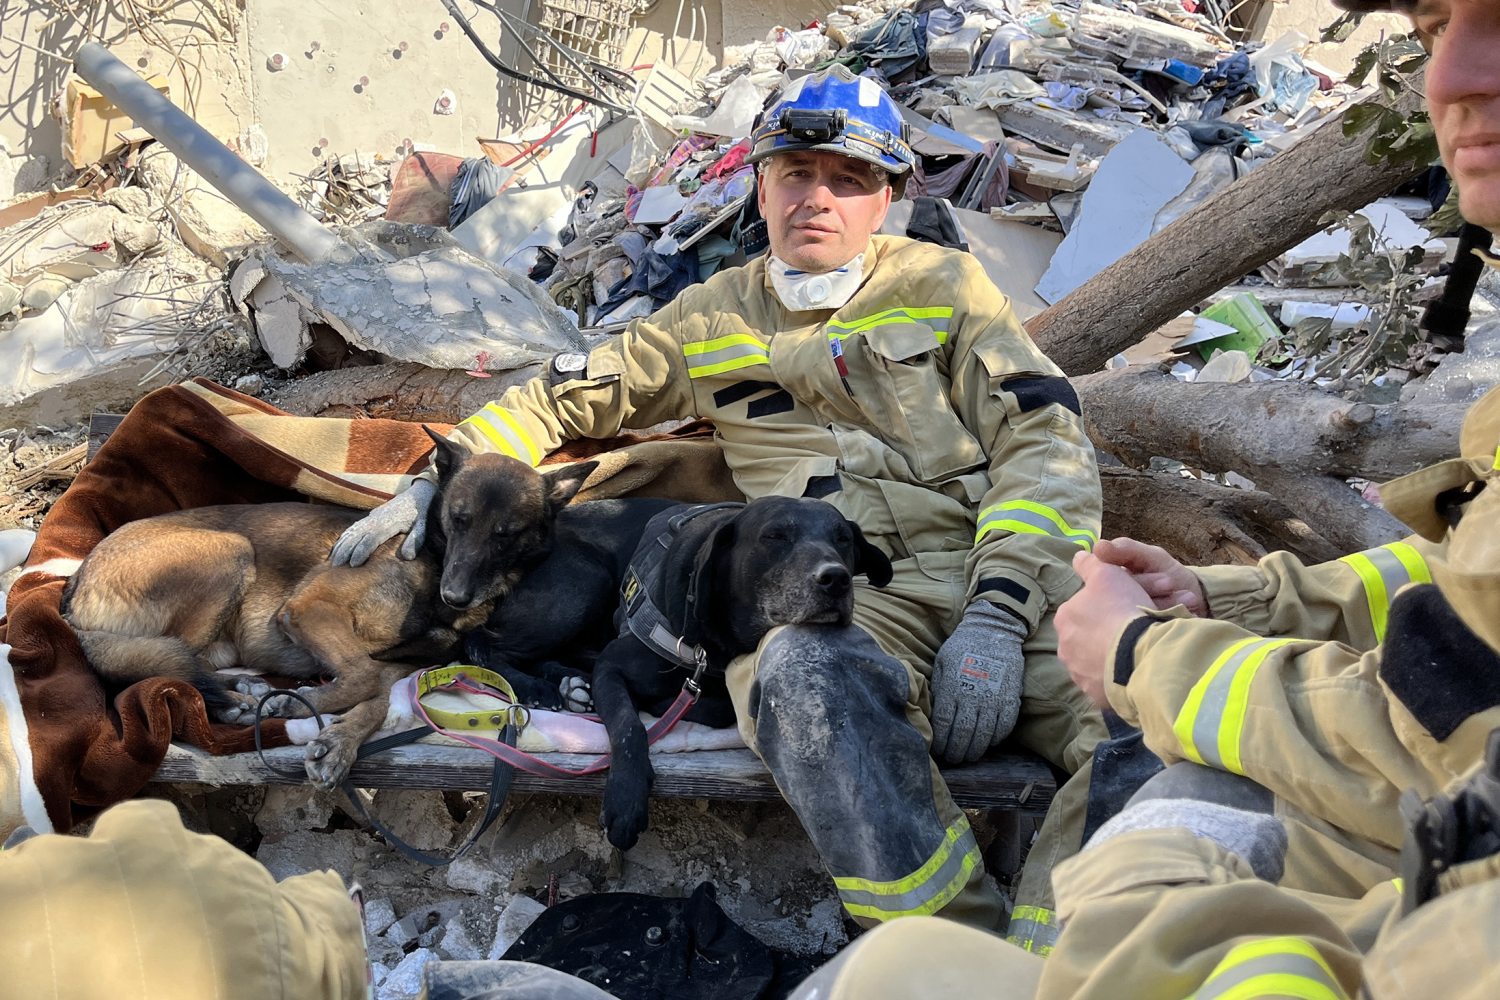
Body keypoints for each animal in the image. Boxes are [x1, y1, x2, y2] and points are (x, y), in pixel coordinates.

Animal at [60, 431, 597, 791]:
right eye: (458, 519)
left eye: (506, 535)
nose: (456, 595)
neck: (431, 562)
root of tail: (77, 580)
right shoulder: (312, 608)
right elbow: (361, 675)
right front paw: (307, 707)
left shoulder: (408, 663)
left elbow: (377, 692)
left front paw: (338, 738)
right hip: (230, 550)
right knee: (161, 663)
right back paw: (237, 698)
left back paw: (248, 692)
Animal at [588, 497, 888, 851]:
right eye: (775, 535)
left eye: (843, 539)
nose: (836, 579)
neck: (712, 639)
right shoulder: (610, 665)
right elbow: (628, 725)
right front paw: (626, 798)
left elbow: (717, 707)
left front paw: (663, 704)